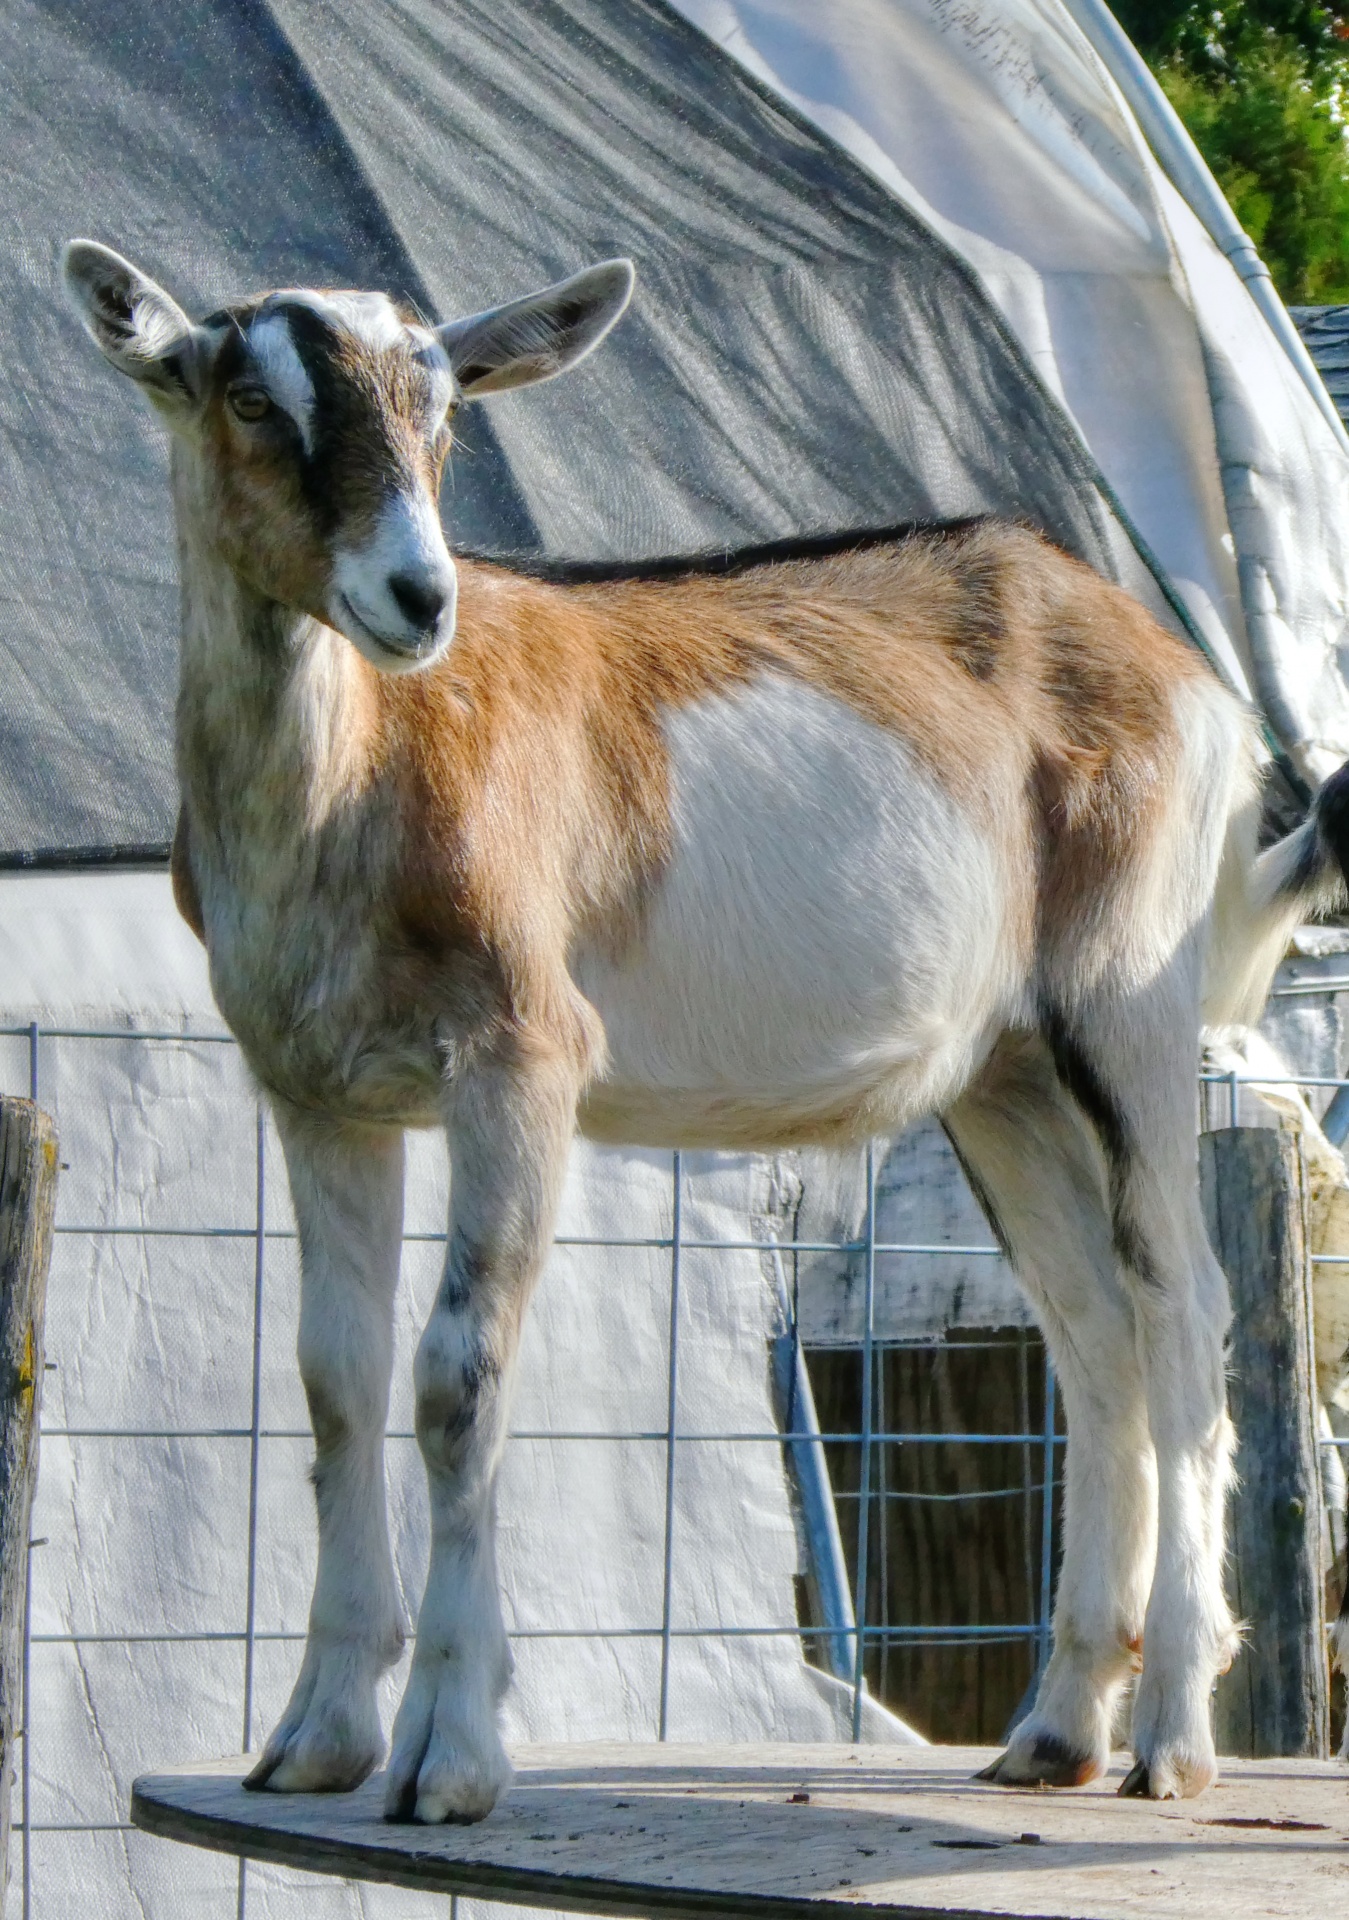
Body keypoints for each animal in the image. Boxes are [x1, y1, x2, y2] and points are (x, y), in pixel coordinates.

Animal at [66, 240, 1349, 1812]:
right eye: (249, 397)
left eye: (445, 413)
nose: (417, 596)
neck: (356, 781)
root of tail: (1177, 671)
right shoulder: (317, 1090)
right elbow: (333, 1380)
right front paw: (313, 1738)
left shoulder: (520, 1059)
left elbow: (455, 1375)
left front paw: (449, 1756)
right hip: (1003, 1072)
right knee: (1089, 1329)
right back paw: (1053, 1729)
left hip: (1128, 1006)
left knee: (1182, 1313)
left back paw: (1168, 1733)